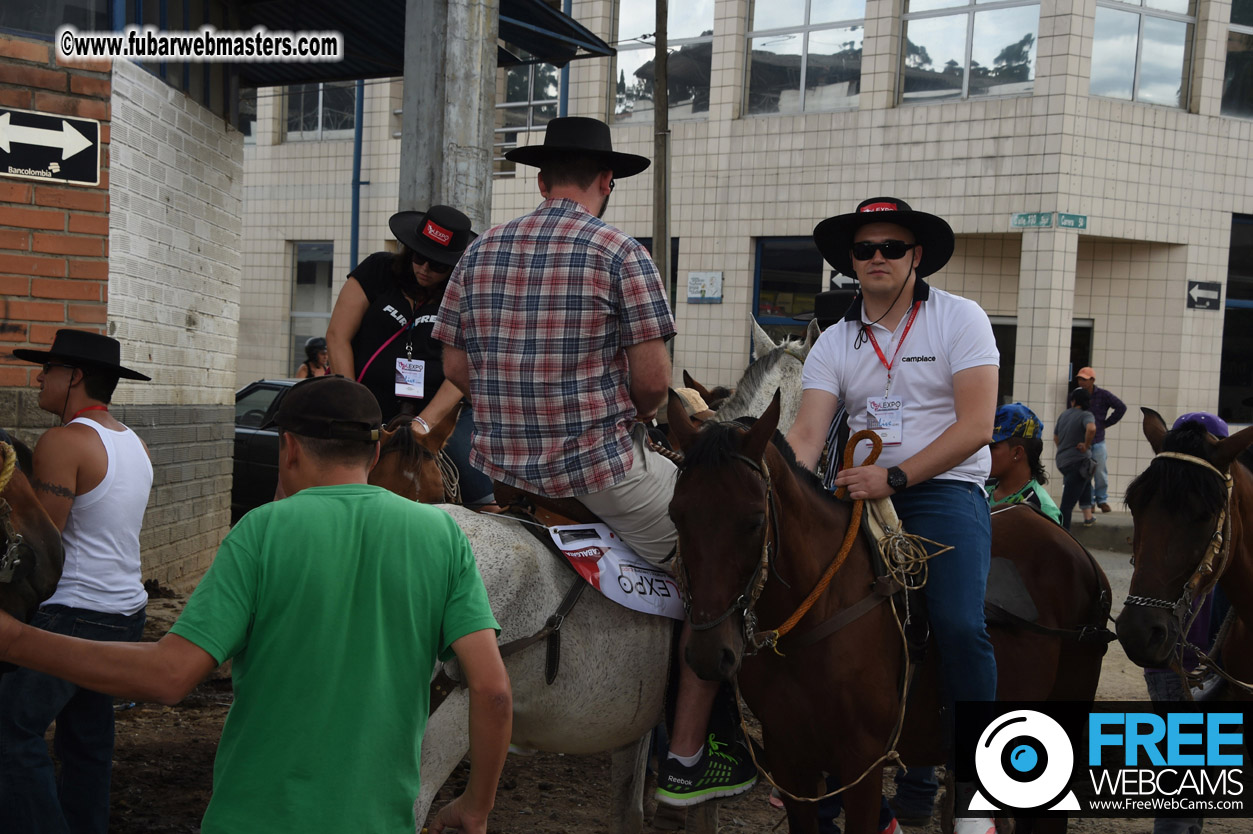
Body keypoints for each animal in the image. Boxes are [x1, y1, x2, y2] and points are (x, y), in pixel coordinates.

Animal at [671, 393, 1112, 826]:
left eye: (754, 520)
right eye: (677, 515)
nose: (708, 653)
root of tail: (1069, 543)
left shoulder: (861, 764)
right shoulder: (790, 759)